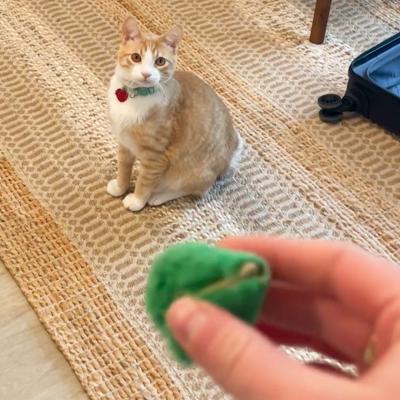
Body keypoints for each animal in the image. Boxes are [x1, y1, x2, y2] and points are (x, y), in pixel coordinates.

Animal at [106, 16, 242, 211]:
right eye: (136, 57)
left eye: (160, 61)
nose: (146, 74)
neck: (135, 98)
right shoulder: (125, 144)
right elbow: (123, 169)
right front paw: (120, 187)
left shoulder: (156, 158)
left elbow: (144, 182)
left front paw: (137, 200)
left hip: (194, 172)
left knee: (196, 189)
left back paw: (158, 196)